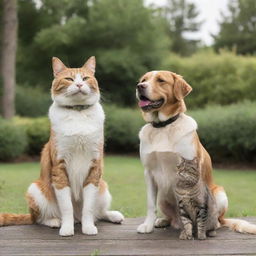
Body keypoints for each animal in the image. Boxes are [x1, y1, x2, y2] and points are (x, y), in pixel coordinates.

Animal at [0, 57, 124, 237]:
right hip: (35, 189)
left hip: (103, 187)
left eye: (85, 78)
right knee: (38, 219)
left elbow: (89, 207)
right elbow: (66, 206)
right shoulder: (59, 166)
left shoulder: (94, 167)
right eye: (69, 79)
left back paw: (113, 216)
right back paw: (54, 221)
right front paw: (66, 229)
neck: (78, 113)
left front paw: (88, 228)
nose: (79, 84)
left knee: (98, 213)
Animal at [136, 71, 256, 235]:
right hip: (162, 196)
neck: (163, 126)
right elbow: (149, 204)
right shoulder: (148, 172)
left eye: (161, 80)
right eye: (144, 80)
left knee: (218, 220)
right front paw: (147, 225)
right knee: (171, 216)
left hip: (219, 193)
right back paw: (163, 221)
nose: (139, 86)